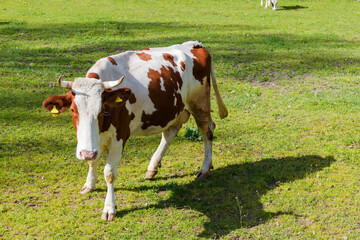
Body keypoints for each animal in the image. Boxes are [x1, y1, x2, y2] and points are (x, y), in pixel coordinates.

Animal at [42, 40, 228, 220]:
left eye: (102, 110)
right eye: (73, 110)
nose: (86, 153)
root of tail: (194, 44)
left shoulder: (119, 137)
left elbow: (109, 172)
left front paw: (109, 208)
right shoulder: (93, 142)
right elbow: (92, 161)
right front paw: (89, 184)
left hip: (200, 103)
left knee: (207, 130)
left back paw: (205, 168)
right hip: (174, 109)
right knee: (170, 133)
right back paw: (153, 167)